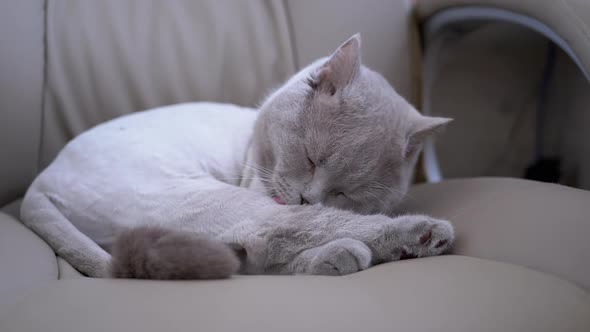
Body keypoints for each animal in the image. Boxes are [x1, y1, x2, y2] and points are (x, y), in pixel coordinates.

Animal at [19, 33, 454, 278]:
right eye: (311, 159)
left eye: (346, 192)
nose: (309, 197)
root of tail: (38, 183)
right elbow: (292, 235)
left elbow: (266, 258)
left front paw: (334, 257)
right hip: (195, 196)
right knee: (287, 228)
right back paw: (419, 235)